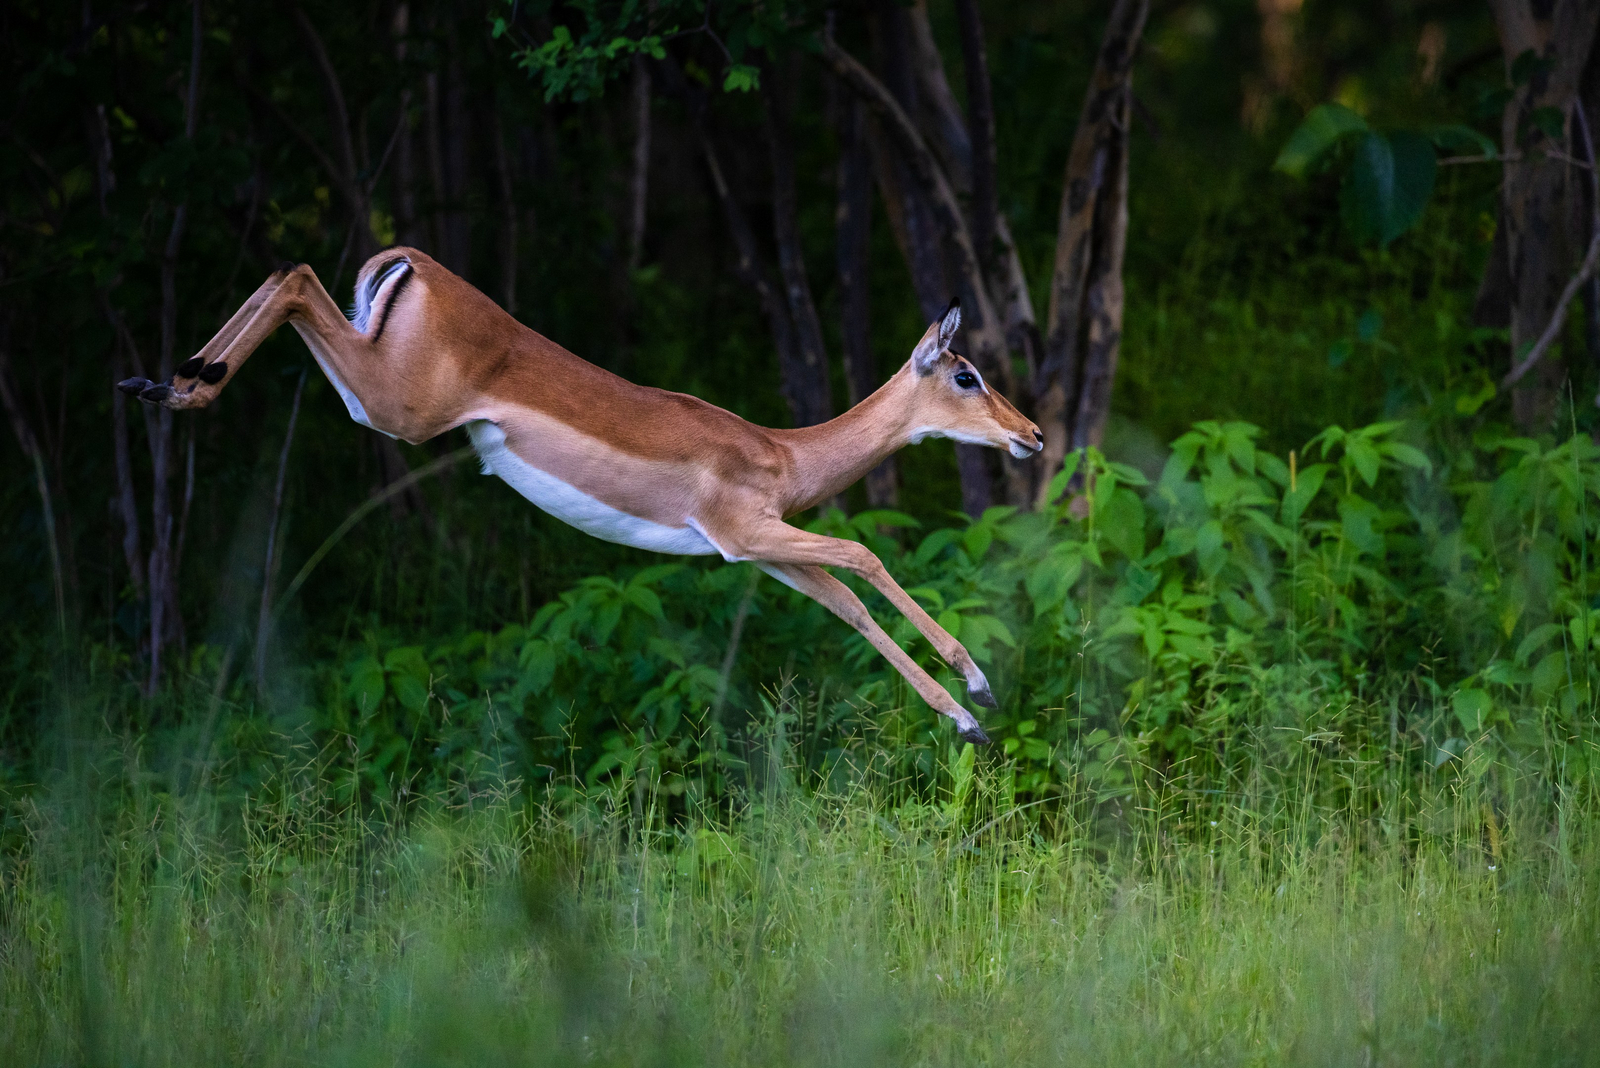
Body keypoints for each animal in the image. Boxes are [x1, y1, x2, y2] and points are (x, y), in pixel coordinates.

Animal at [118, 249, 1042, 744]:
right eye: (967, 373)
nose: (1031, 435)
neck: (781, 453)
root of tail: (411, 263)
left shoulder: (759, 551)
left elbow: (847, 604)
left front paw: (967, 714)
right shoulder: (745, 531)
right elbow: (865, 554)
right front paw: (978, 695)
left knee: (287, 270)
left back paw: (166, 385)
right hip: (396, 410)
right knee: (296, 272)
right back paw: (178, 384)